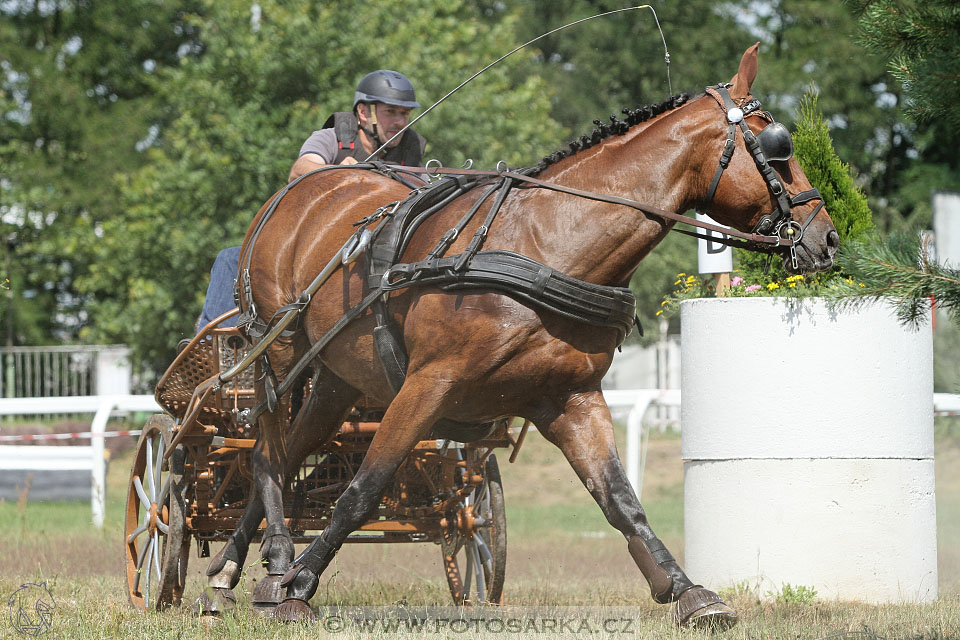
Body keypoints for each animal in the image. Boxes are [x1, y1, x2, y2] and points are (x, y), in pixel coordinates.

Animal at [197, 43, 840, 624]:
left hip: (340, 380)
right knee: (266, 451)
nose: (827, 237)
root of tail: (296, 192)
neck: (549, 246)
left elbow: (621, 501)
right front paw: (301, 585)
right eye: (779, 147)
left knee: (288, 453)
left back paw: (235, 570)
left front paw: (686, 591)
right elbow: (364, 487)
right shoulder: (427, 384)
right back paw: (277, 562)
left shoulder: (571, 398)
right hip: (281, 353)